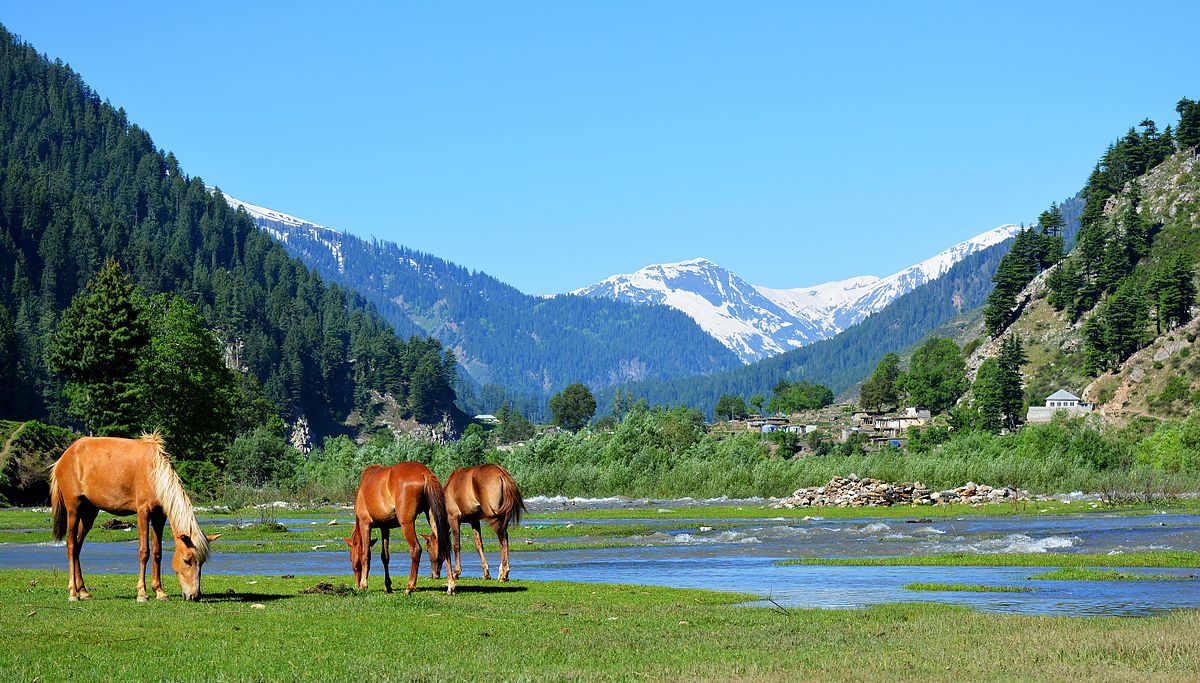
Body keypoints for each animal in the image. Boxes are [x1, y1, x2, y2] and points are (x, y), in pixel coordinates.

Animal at [49, 434, 220, 600]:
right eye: (186, 560)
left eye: (202, 562)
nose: (194, 596)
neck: (155, 473)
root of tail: (63, 458)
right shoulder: (143, 513)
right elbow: (144, 552)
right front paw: (142, 593)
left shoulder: (159, 516)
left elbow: (157, 552)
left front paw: (160, 591)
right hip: (74, 509)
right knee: (71, 546)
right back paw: (73, 592)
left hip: (89, 512)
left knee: (78, 547)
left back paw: (83, 591)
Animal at [350, 460, 458, 592]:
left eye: (351, 558)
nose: (357, 584)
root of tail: (424, 472)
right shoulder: (385, 528)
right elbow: (385, 557)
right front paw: (387, 586)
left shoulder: (365, 524)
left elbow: (365, 554)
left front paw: (364, 584)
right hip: (433, 518)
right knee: (445, 545)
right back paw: (450, 585)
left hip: (406, 523)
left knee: (416, 549)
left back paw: (409, 587)